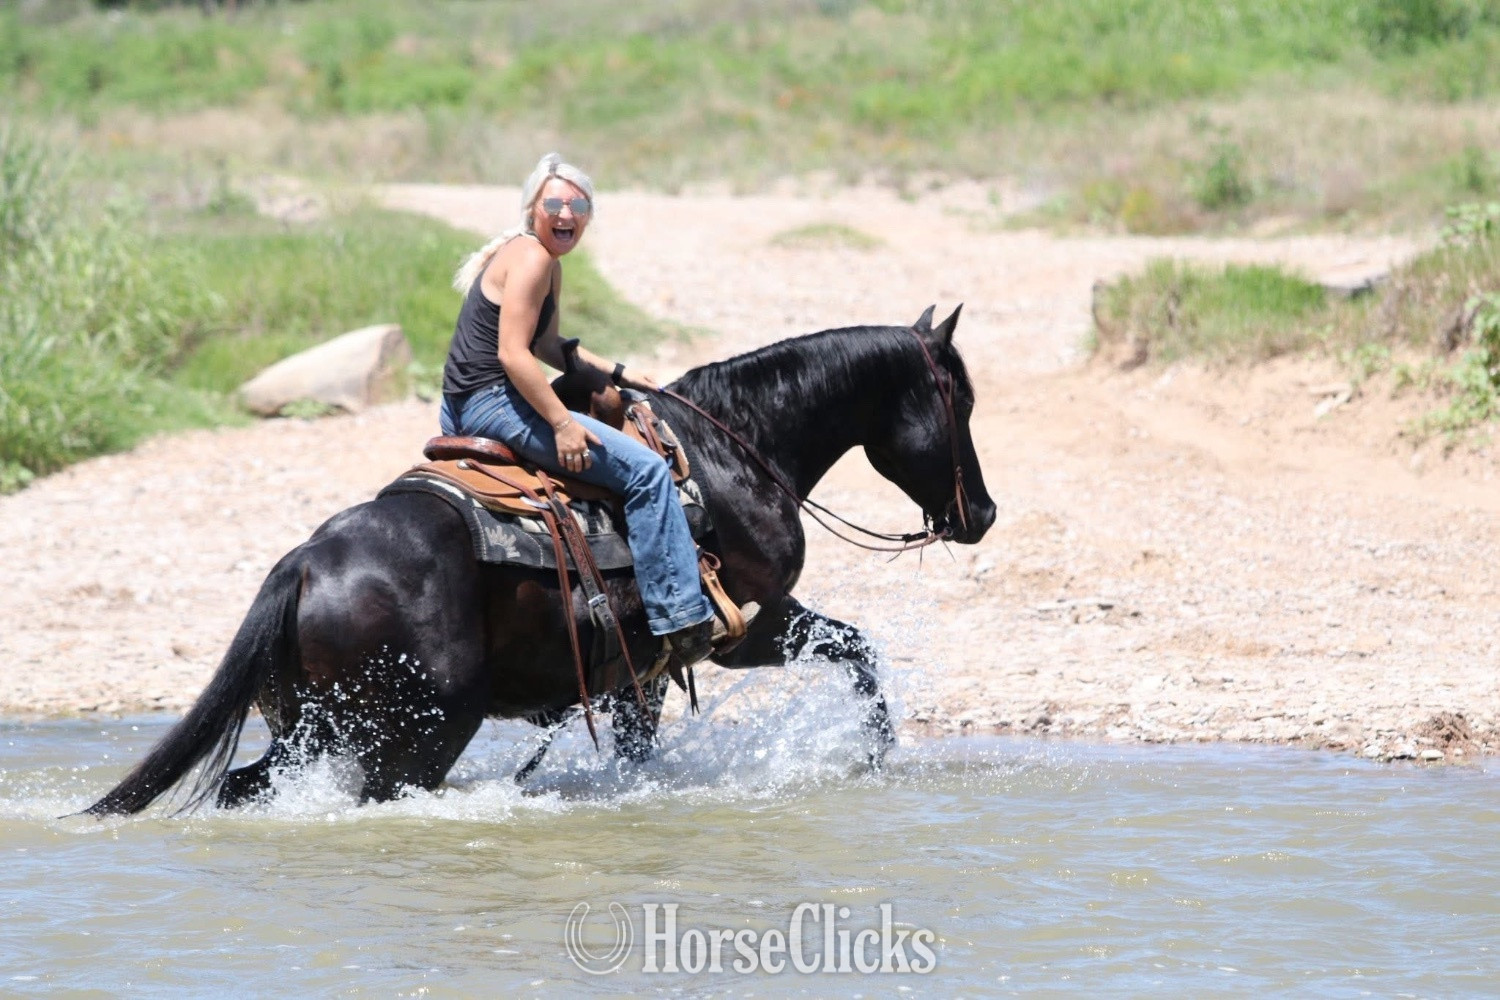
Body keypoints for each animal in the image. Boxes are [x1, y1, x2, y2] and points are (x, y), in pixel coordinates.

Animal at [84, 305, 995, 815]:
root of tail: (305, 564)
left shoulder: (641, 673)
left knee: (247, 785)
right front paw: (869, 753)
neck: (731, 450)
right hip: (419, 733)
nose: (981, 513)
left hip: (312, 733)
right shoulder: (750, 626)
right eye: (962, 399)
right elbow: (857, 651)